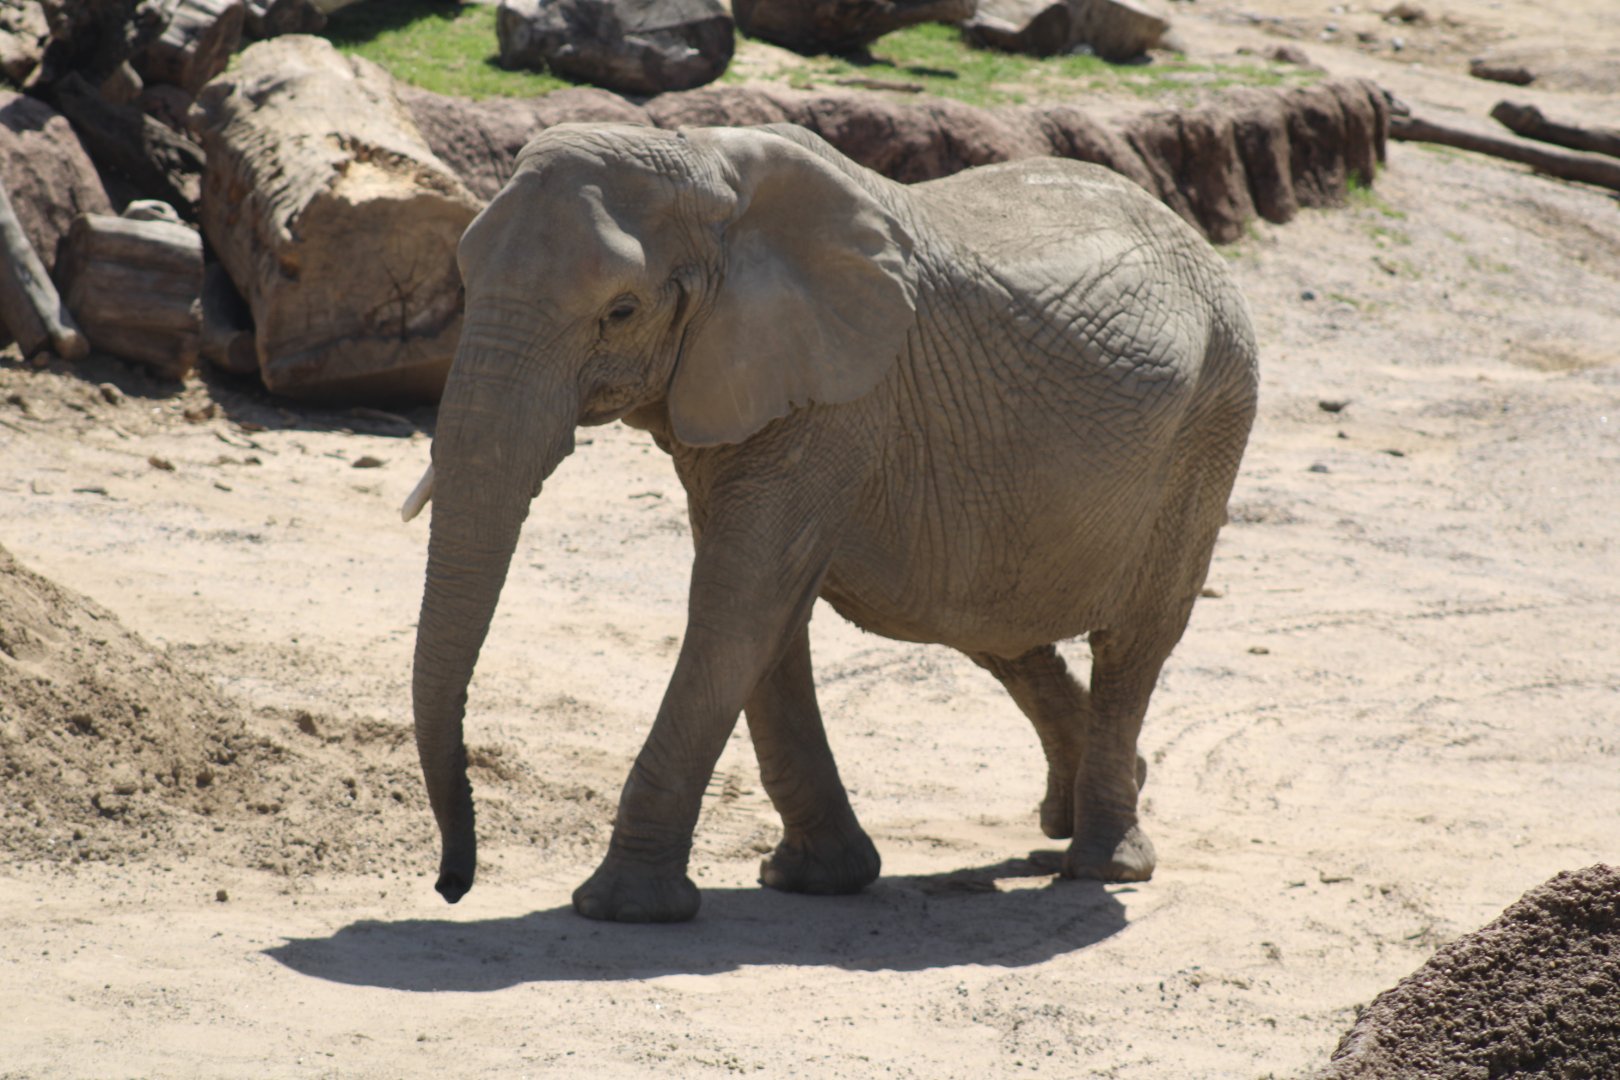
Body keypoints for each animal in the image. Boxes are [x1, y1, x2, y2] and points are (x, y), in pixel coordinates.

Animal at [404, 121, 1258, 923]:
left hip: (1212, 418)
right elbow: (766, 614)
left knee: (1132, 642)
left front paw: (620, 911)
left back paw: (1107, 861)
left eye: (621, 310)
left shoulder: (837, 398)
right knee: (994, 627)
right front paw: (818, 880)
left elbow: (740, 602)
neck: (707, 171)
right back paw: (1079, 808)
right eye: (465, 280)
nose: (451, 885)